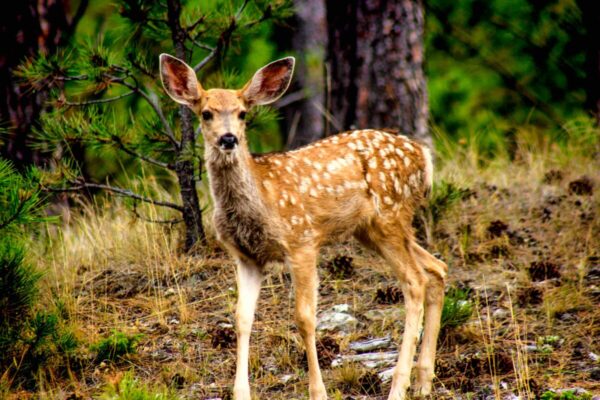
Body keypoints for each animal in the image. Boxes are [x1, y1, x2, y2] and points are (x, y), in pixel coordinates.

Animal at [159, 54, 446, 400]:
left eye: (242, 113)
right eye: (206, 113)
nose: (228, 139)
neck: (260, 201)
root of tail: (423, 155)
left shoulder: (302, 241)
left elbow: (305, 319)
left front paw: (318, 391)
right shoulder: (246, 257)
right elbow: (242, 318)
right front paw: (240, 392)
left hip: (389, 214)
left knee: (415, 281)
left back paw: (399, 387)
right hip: (374, 229)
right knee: (437, 269)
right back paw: (423, 381)